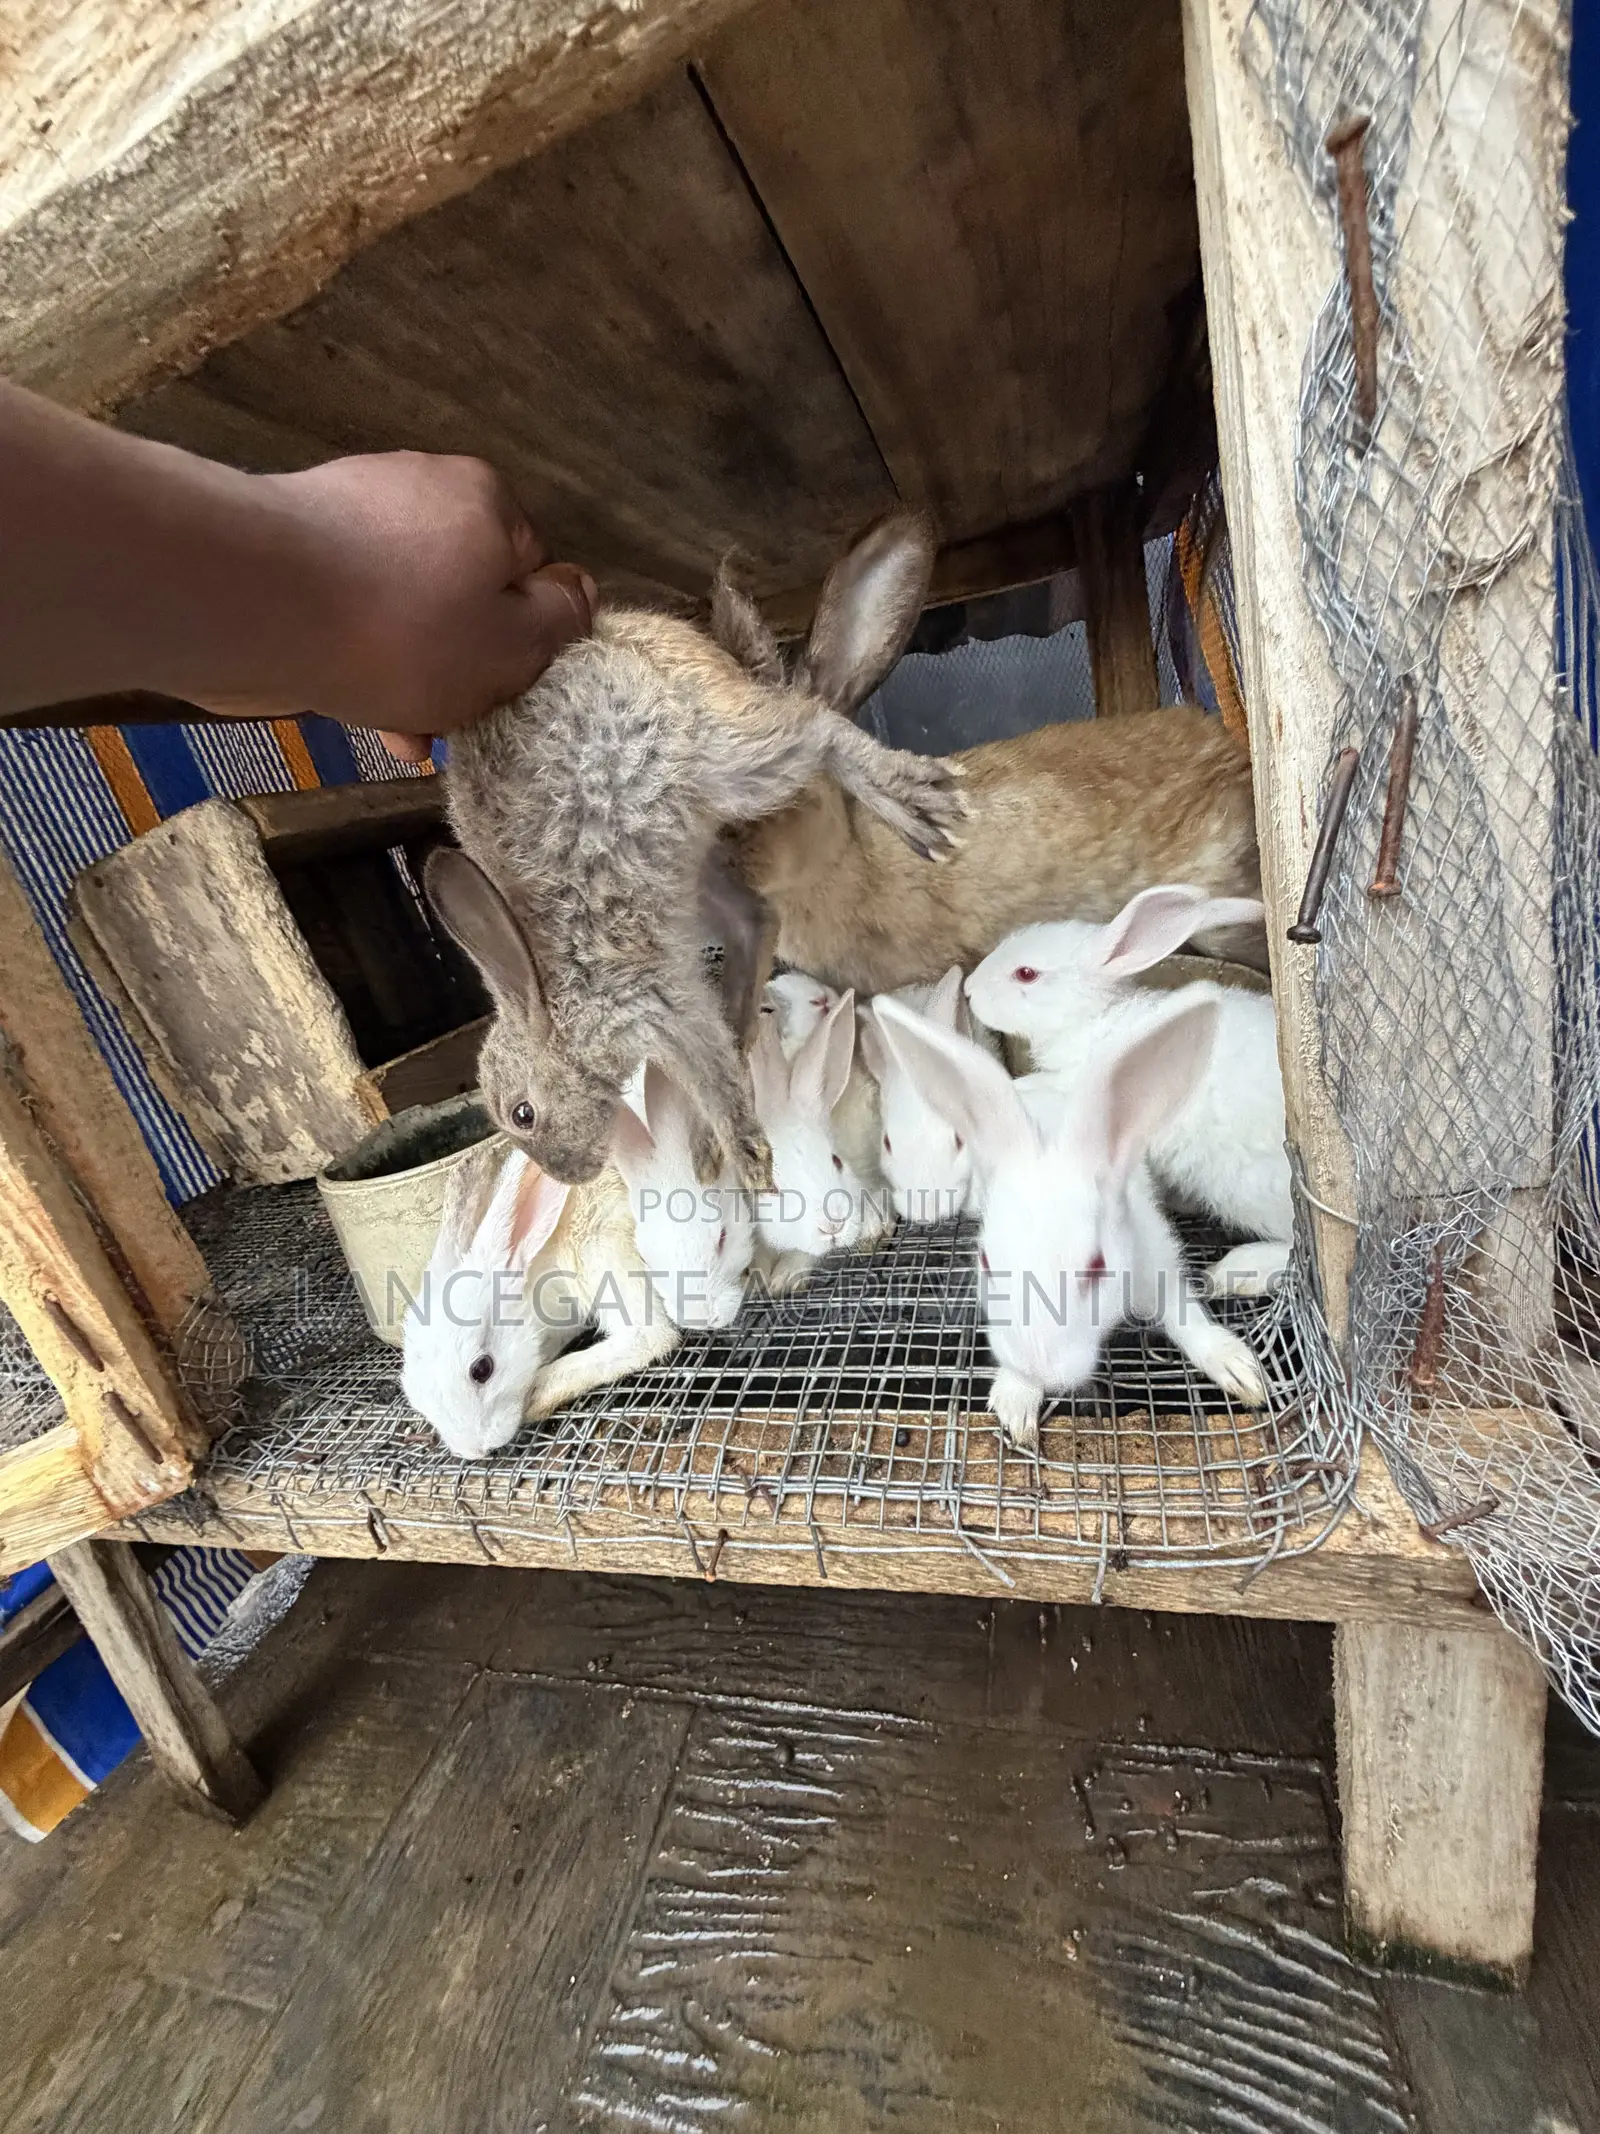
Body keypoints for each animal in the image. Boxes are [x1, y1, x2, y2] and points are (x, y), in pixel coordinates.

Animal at [401, 1136, 678, 1460]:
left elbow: (648, 1338)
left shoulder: (598, 1247)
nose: (476, 1450)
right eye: (413, 1392)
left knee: (647, 1338)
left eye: (482, 1370)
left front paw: (535, 1395)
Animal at [423, 523, 968, 1198]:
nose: (571, 1176)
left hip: (717, 760)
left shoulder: (655, 1002)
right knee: (757, 921)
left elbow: (709, 1075)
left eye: (523, 1114)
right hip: (697, 860)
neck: (559, 1002)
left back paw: (918, 803)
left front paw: (753, 1165)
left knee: (816, 729)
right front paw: (735, 1157)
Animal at [872, 992, 1269, 1451]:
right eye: (987, 1263)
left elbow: (1184, 1314)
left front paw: (1239, 1370)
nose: (1041, 1368)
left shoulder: (1155, 1261)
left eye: (1097, 1266)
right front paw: (1017, 1399)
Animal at [964, 884, 1291, 1296]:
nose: (968, 989)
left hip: (1245, 1190)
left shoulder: (1077, 1085)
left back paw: (1240, 1270)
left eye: (1026, 974)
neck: (1093, 1021)